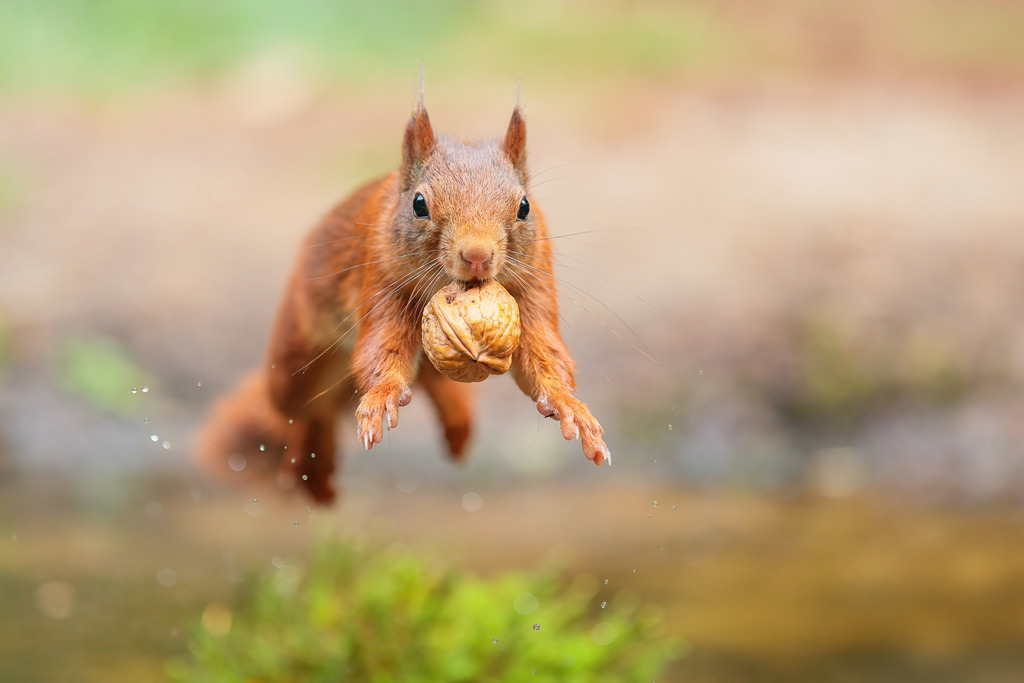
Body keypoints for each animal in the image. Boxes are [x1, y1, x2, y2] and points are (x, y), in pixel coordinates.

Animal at [195, 100, 610, 504]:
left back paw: (455, 424)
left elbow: (541, 356)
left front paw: (569, 406)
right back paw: (312, 467)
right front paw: (382, 397)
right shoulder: (383, 280)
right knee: (308, 412)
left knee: (426, 379)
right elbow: (381, 350)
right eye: (419, 204)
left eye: (524, 206)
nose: (477, 255)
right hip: (294, 359)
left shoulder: (533, 287)